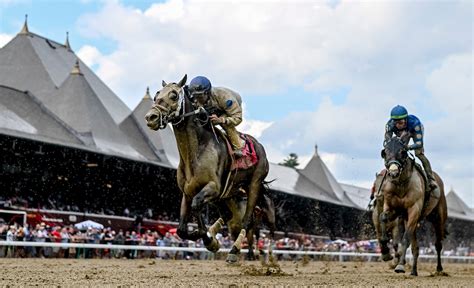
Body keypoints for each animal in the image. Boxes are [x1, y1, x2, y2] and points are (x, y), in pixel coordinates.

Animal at [144, 75, 270, 264]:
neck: (195, 153)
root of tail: (260, 147)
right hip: (227, 195)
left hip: (253, 185)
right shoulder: (187, 192)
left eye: (174, 95)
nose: (150, 117)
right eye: (156, 95)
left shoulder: (213, 187)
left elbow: (197, 206)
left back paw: (234, 250)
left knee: (246, 222)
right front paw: (210, 239)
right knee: (228, 216)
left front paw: (208, 239)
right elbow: (181, 229)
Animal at [378, 136, 448, 276]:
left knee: (438, 244)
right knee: (416, 247)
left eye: (402, 152)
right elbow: (383, 217)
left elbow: (405, 239)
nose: (393, 172)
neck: (401, 184)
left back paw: (439, 269)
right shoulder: (393, 208)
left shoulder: (414, 211)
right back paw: (414, 271)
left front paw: (400, 266)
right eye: (385, 152)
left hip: (438, 217)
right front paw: (385, 252)